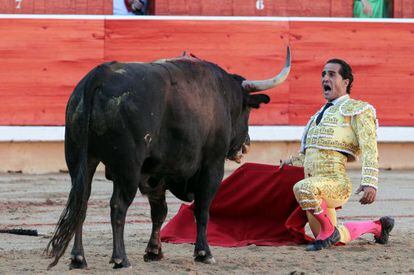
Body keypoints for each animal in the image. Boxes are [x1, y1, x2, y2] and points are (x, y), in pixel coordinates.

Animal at [46, 48, 292, 270]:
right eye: (246, 111)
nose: (246, 144)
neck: (222, 94)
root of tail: (100, 75)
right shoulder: (212, 165)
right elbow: (203, 208)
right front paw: (204, 253)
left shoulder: (156, 173)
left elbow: (159, 211)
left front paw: (154, 251)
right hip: (127, 168)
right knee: (118, 205)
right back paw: (120, 259)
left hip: (81, 159)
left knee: (81, 202)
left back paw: (78, 258)